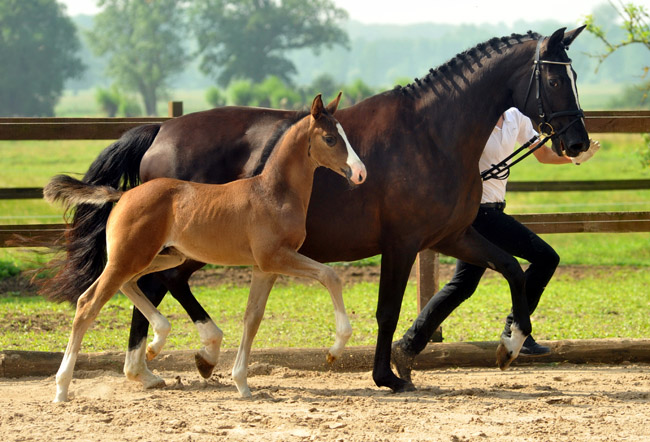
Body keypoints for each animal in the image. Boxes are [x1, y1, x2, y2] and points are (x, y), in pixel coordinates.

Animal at [44, 93, 364, 400]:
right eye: (330, 138)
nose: (360, 173)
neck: (272, 193)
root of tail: (123, 195)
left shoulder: (265, 268)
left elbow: (252, 318)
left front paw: (242, 384)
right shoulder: (277, 257)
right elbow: (330, 276)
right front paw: (335, 350)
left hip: (160, 257)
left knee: (129, 284)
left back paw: (158, 342)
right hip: (129, 257)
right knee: (88, 304)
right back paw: (61, 388)